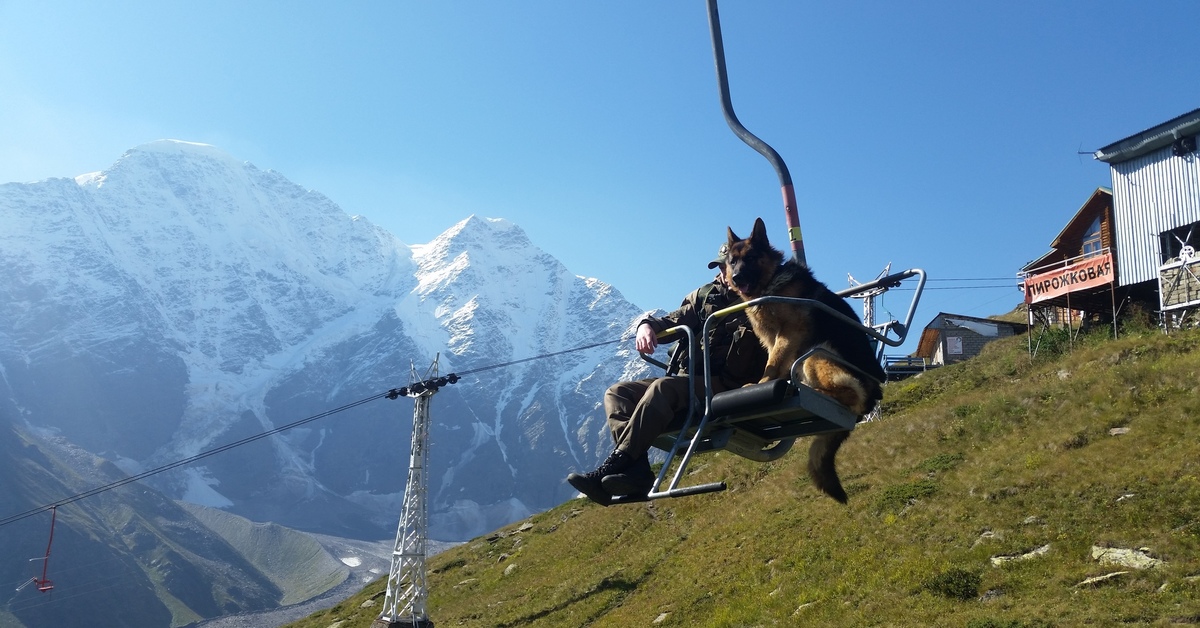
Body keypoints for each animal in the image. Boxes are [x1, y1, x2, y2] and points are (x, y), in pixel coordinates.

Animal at [715, 218, 888, 504]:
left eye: (750, 258)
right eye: (732, 261)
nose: (737, 278)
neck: (771, 282)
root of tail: (875, 395)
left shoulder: (788, 334)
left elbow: (772, 364)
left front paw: (760, 384)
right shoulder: (772, 340)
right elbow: (775, 364)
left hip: (817, 353)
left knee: (846, 397)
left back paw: (816, 392)